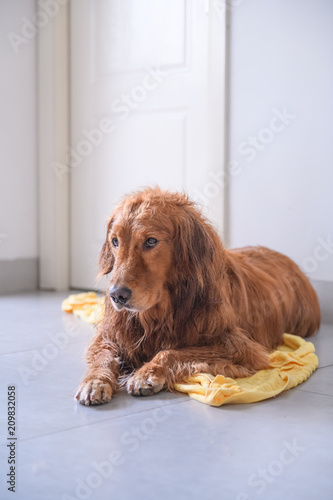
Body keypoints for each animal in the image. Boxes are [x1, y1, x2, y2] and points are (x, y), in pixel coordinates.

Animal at [75, 186, 320, 404]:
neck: (162, 313)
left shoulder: (241, 347)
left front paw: (147, 373)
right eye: (115, 241)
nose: (117, 295)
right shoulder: (110, 335)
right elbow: (102, 357)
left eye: (151, 241)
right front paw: (95, 382)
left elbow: (172, 352)